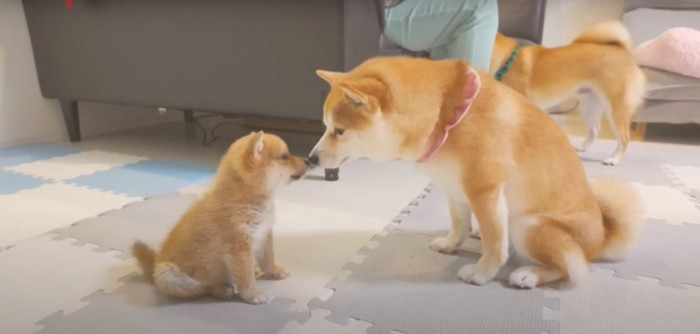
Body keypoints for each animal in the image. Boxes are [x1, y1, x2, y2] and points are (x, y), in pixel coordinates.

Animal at [131, 132, 306, 304]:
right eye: (284, 157)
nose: (308, 160)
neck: (247, 201)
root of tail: (155, 263)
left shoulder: (264, 235)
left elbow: (268, 260)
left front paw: (274, 272)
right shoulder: (240, 248)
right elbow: (246, 277)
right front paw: (253, 294)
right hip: (168, 274)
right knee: (202, 289)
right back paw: (221, 289)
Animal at [308, 56, 644, 288]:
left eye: (339, 130)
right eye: (324, 126)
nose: (311, 158)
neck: (446, 116)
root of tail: (601, 237)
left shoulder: (484, 190)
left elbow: (496, 246)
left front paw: (482, 274)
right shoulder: (454, 188)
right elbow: (458, 223)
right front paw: (451, 244)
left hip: (527, 224)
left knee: (571, 267)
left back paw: (529, 274)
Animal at [490, 21, 644, 166]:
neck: (506, 61)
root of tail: (622, 50)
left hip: (615, 109)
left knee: (624, 138)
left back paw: (614, 159)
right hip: (589, 106)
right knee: (595, 130)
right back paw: (582, 147)